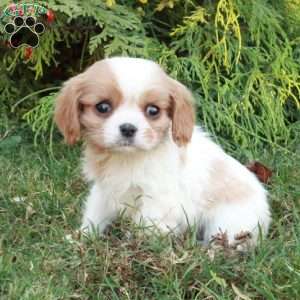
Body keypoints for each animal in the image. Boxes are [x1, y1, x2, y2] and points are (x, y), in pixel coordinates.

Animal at [54, 56, 272, 246]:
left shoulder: (157, 198)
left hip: (228, 221)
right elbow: (96, 213)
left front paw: (135, 246)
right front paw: (81, 237)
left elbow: (144, 224)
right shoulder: (104, 189)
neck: (127, 159)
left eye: (153, 111)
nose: (128, 128)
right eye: (103, 107)